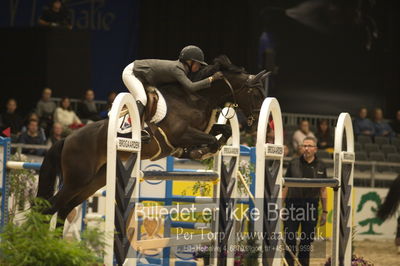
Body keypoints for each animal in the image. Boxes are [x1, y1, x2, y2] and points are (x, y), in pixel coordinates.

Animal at [37, 55, 268, 227]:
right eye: (256, 94)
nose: (255, 124)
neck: (196, 98)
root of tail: (67, 139)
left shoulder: (202, 128)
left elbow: (224, 130)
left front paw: (201, 150)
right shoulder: (181, 133)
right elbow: (211, 138)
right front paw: (198, 152)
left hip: (94, 180)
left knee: (64, 209)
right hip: (77, 178)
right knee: (51, 207)